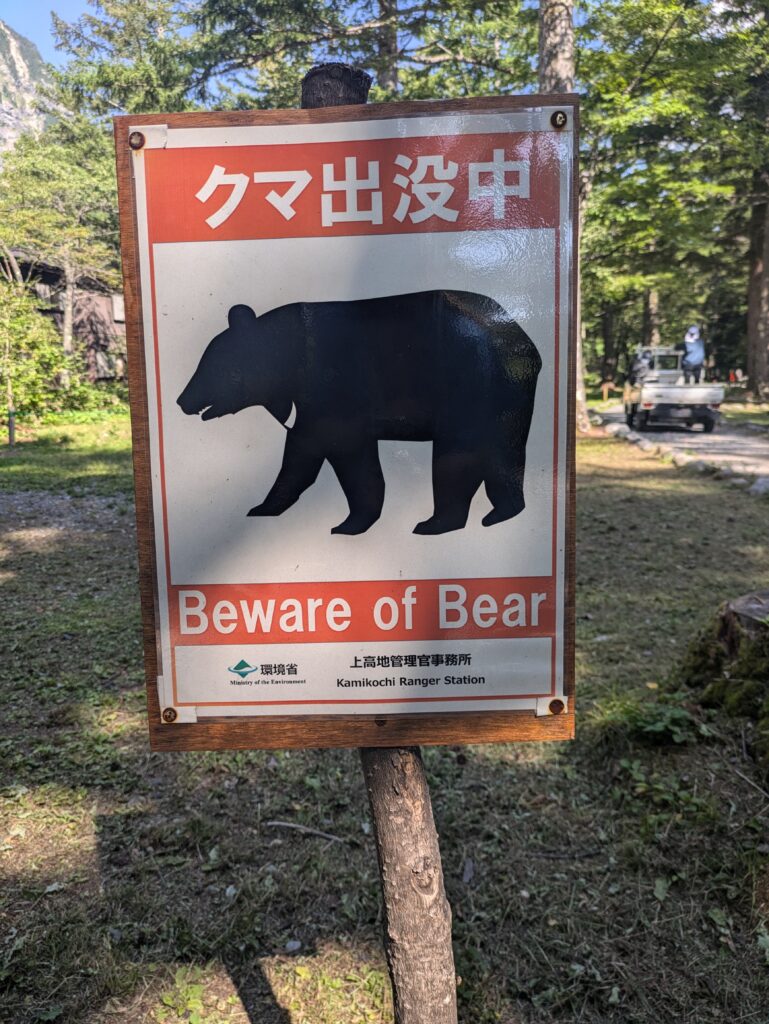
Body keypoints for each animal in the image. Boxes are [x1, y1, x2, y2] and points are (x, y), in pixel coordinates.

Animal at [177, 290, 542, 536]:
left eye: (211, 366)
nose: (182, 400)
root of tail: (525, 341)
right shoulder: (311, 407)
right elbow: (301, 453)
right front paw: (263, 507)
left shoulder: (336, 392)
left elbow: (346, 456)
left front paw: (347, 523)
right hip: (501, 398)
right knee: (501, 454)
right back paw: (500, 512)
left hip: (473, 386)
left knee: (457, 457)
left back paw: (435, 523)